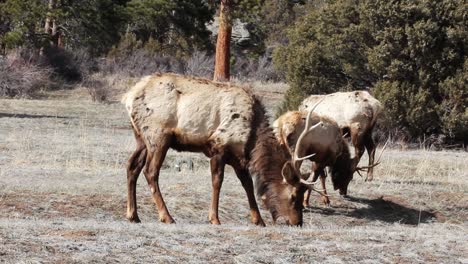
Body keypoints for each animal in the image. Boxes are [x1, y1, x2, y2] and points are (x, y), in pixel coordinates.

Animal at [122, 73, 324, 226]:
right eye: (293, 196)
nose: (297, 222)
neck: (252, 138)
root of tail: (128, 97)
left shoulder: (238, 158)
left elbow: (248, 184)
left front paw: (258, 220)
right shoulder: (218, 147)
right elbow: (217, 182)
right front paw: (214, 218)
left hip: (141, 138)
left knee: (132, 166)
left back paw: (133, 215)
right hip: (158, 135)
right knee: (150, 171)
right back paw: (166, 216)